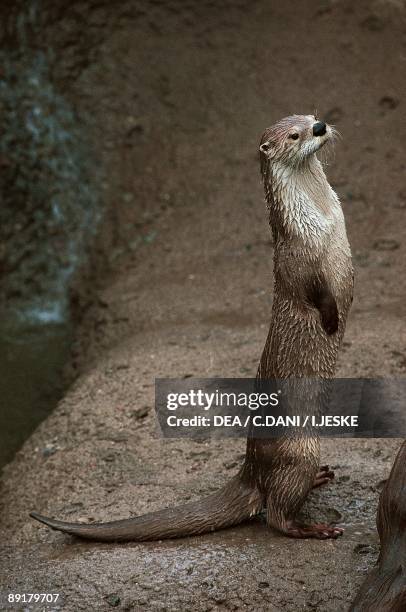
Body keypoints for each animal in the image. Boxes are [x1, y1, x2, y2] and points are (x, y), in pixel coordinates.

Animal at [29, 113, 352, 540]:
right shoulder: (300, 259)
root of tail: (250, 470)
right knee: (276, 513)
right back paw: (313, 527)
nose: (319, 127)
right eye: (294, 134)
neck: (320, 217)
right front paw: (330, 319)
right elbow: (316, 294)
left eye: (311, 116)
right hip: (298, 452)